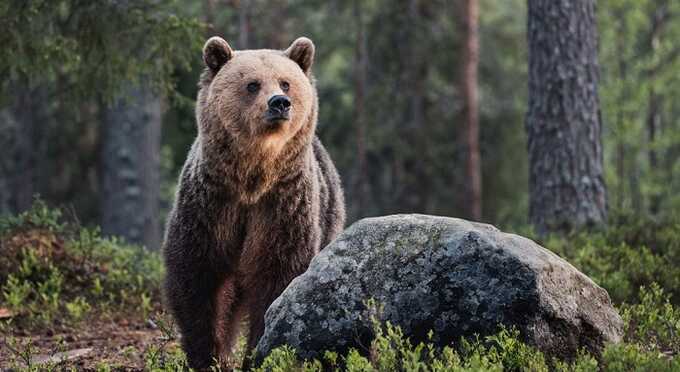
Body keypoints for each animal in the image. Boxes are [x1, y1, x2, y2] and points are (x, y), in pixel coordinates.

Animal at [163, 35, 346, 370]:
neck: (252, 178)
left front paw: (260, 353)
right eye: (252, 84)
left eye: (285, 82)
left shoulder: (282, 208)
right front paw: (207, 355)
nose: (279, 103)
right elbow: (195, 277)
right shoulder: (210, 206)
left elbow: (278, 277)